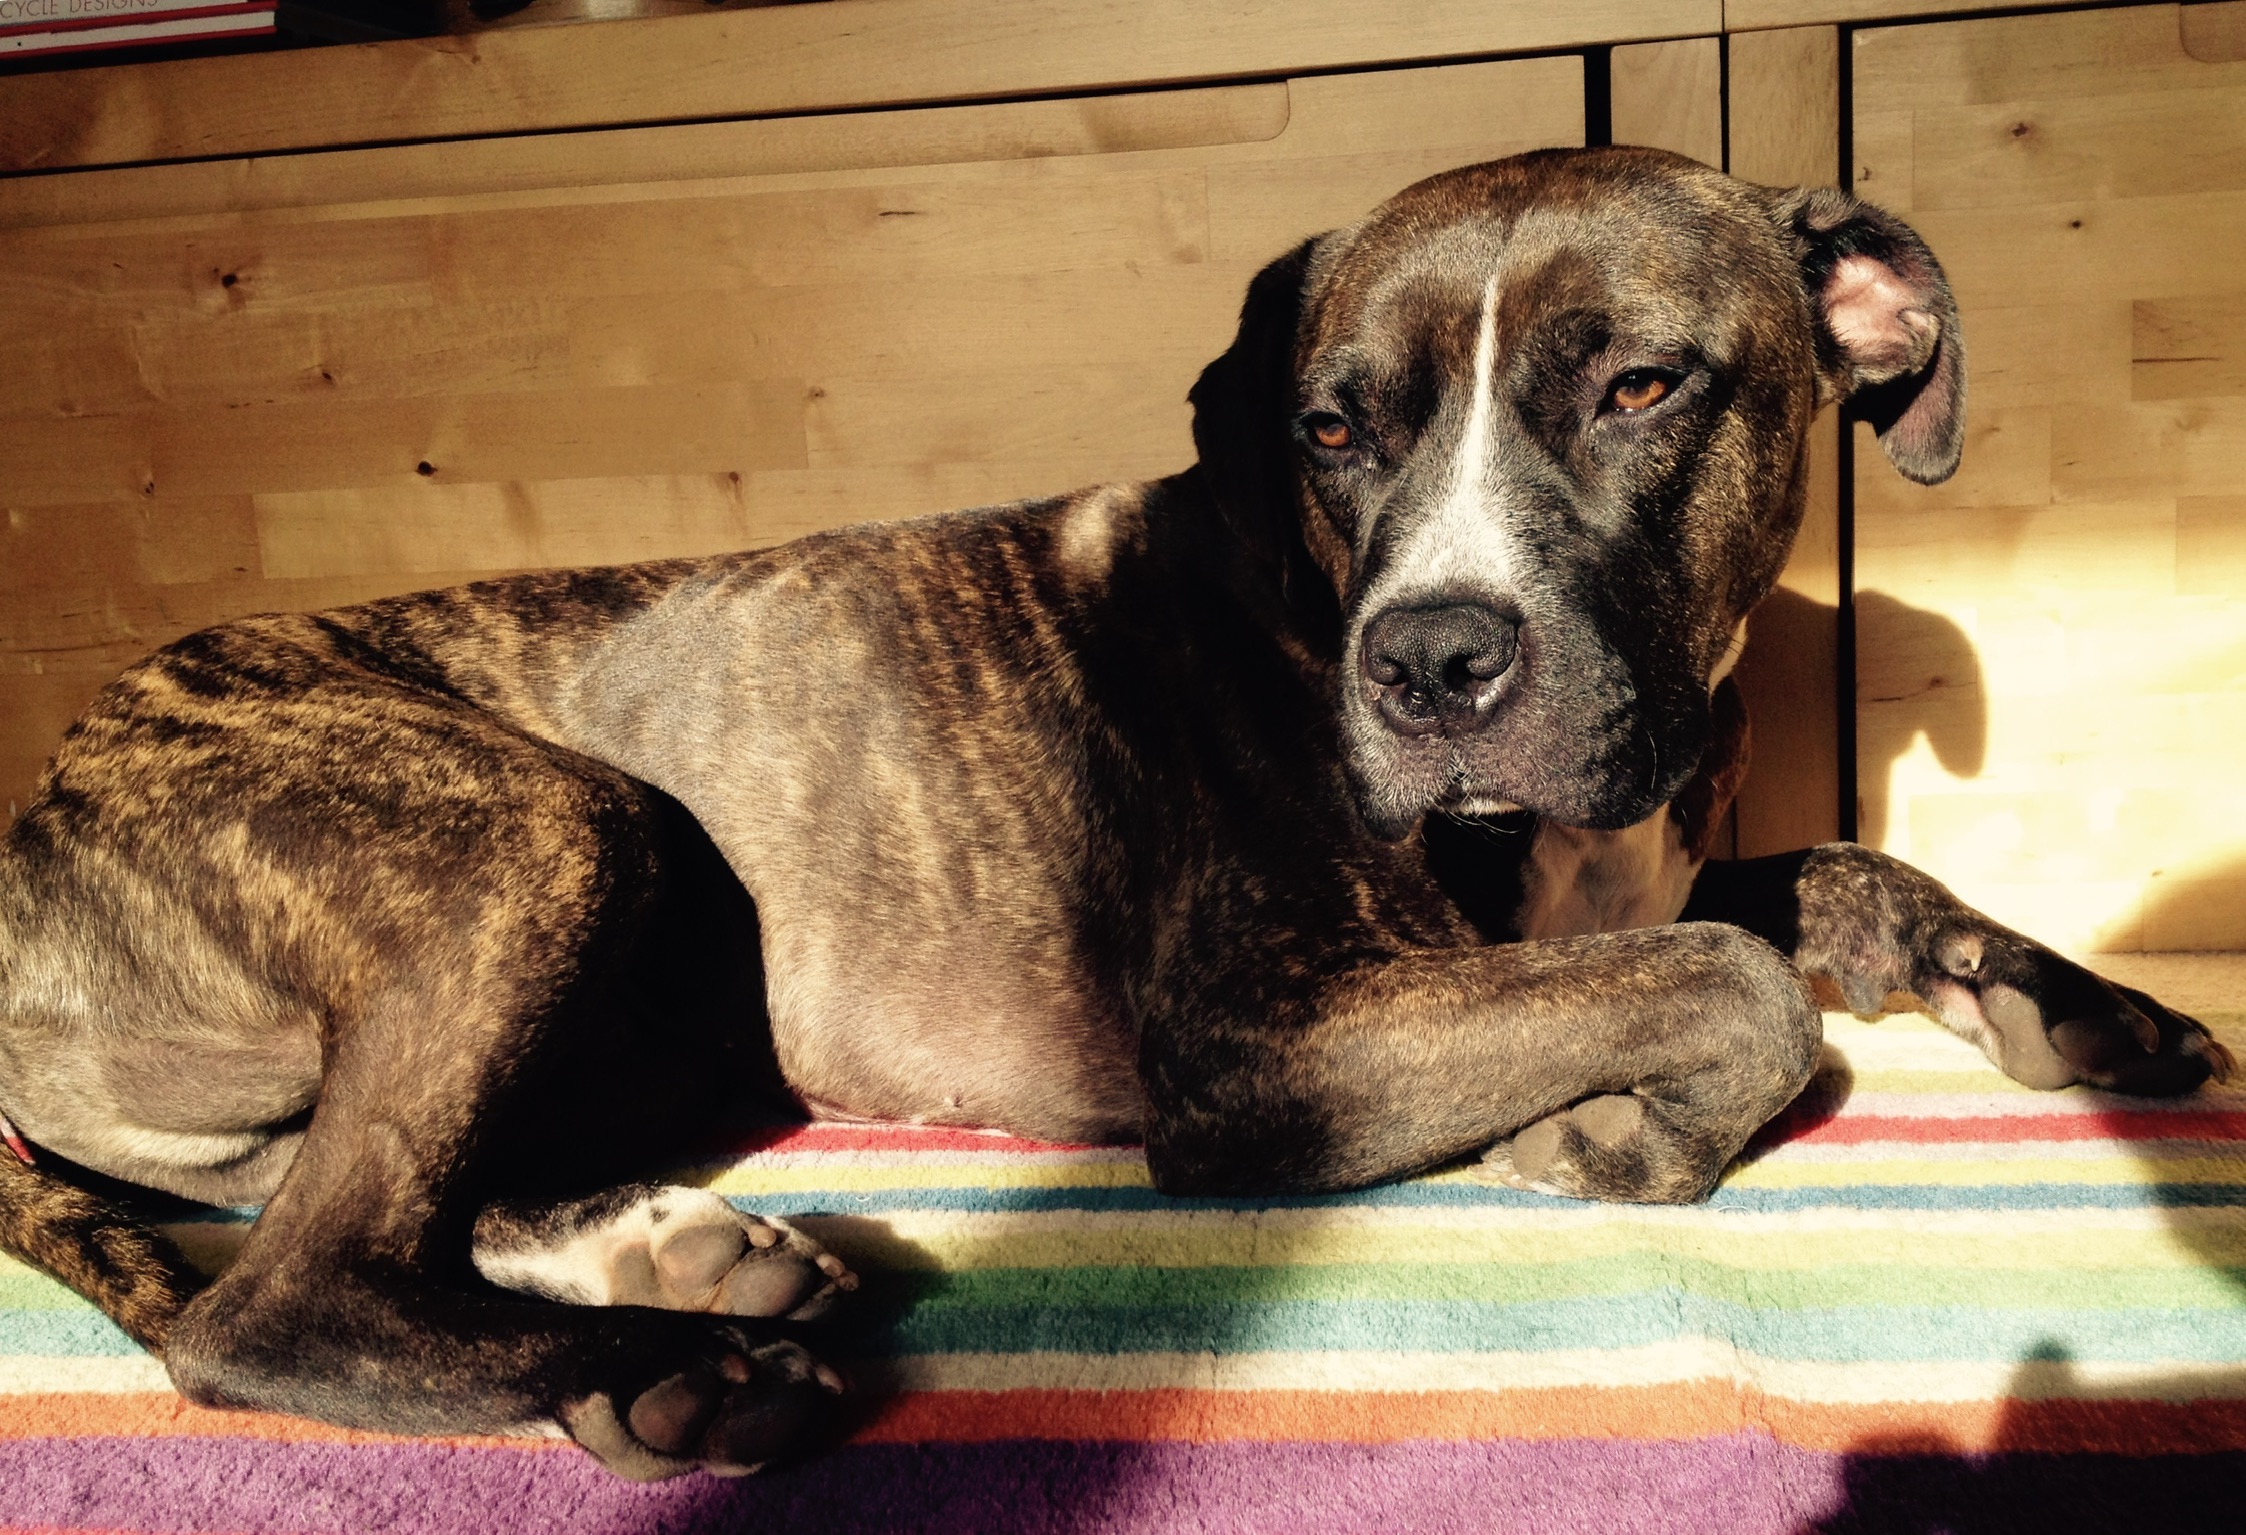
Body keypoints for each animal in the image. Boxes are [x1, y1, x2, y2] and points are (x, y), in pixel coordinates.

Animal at [0, 148, 2231, 1480]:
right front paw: (1623, 1127)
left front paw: (2072, 1002)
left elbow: (1825, 878)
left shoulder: (1638, 855)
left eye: (1640, 389)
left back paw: (672, 1254)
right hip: (537, 828)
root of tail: (38, 806)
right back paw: (655, 1367)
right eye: (1331, 426)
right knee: (273, 1290)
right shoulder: (1266, 1055)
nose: (1432, 661)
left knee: (369, 1194)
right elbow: (1725, 982)